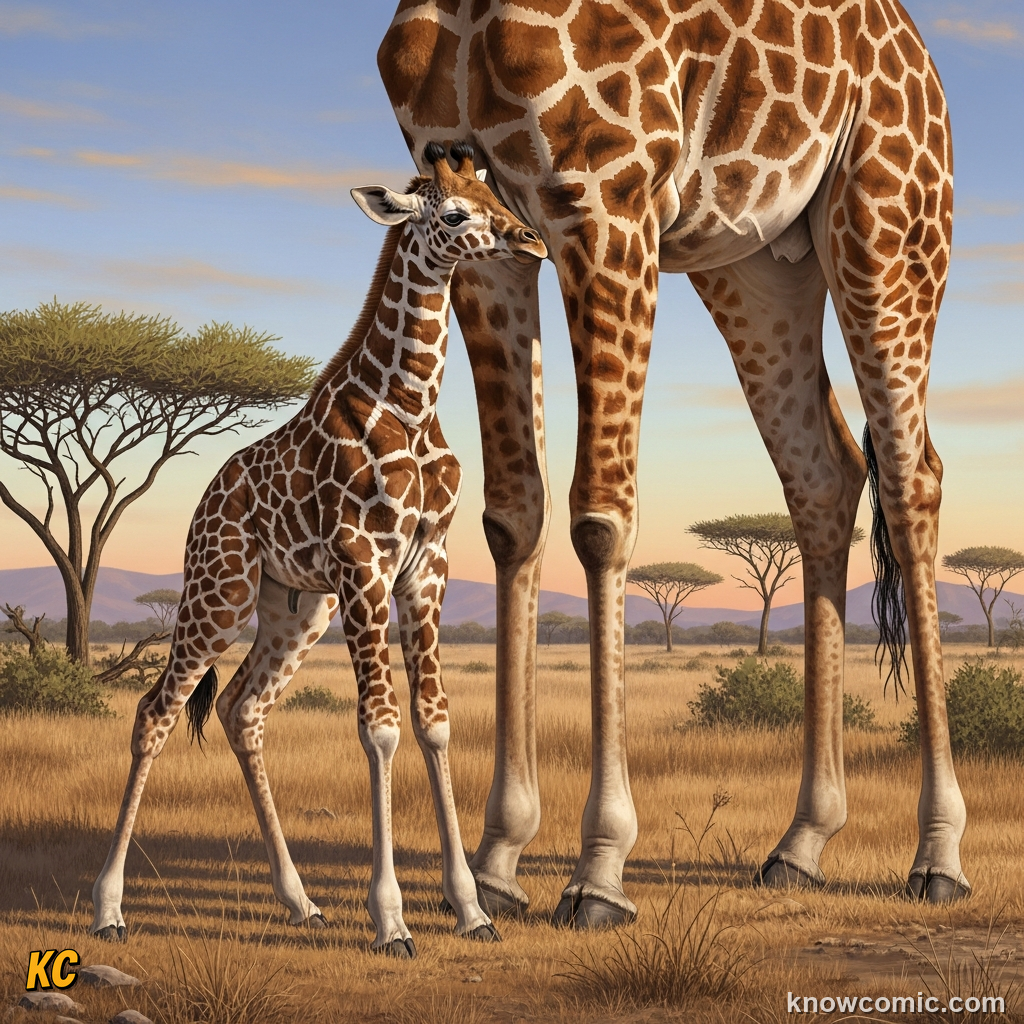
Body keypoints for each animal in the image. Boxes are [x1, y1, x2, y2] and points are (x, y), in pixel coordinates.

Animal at [89, 142, 548, 957]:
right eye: (452, 214)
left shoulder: (425, 566)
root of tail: (205, 502)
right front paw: (392, 921)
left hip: (296, 606)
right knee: (156, 712)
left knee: (242, 707)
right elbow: (380, 728)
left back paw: (300, 901)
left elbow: (433, 721)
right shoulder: (364, 561)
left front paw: (471, 910)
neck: (410, 404)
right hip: (220, 590)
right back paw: (108, 909)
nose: (530, 242)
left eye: (492, 193)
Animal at [379, 0, 965, 927]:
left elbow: (600, 516)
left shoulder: (603, 199)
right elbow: (513, 515)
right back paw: (802, 842)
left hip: (889, 221)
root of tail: (918, 52)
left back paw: (938, 854)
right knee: (825, 473)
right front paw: (499, 857)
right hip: (755, 265)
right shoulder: (490, 226)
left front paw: (600, 867)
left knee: (912, 476)